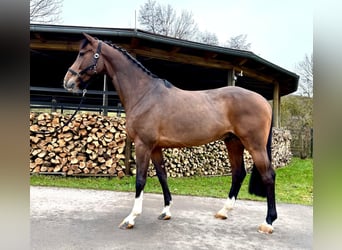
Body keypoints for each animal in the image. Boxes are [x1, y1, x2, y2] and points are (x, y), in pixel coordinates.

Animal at [64, 32, 276, 232]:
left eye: (83, 53)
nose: (68, 82)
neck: (144, 94)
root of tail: (264, 102)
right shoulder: (156, 147)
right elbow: (162, 176)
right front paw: (166, 211)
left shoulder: (143, 145)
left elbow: (140, 180)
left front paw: (131, 218)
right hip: (233, 142)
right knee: (238, 173)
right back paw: (224, 211)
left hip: (254, 145)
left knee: (268, 176)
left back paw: (268, 222)